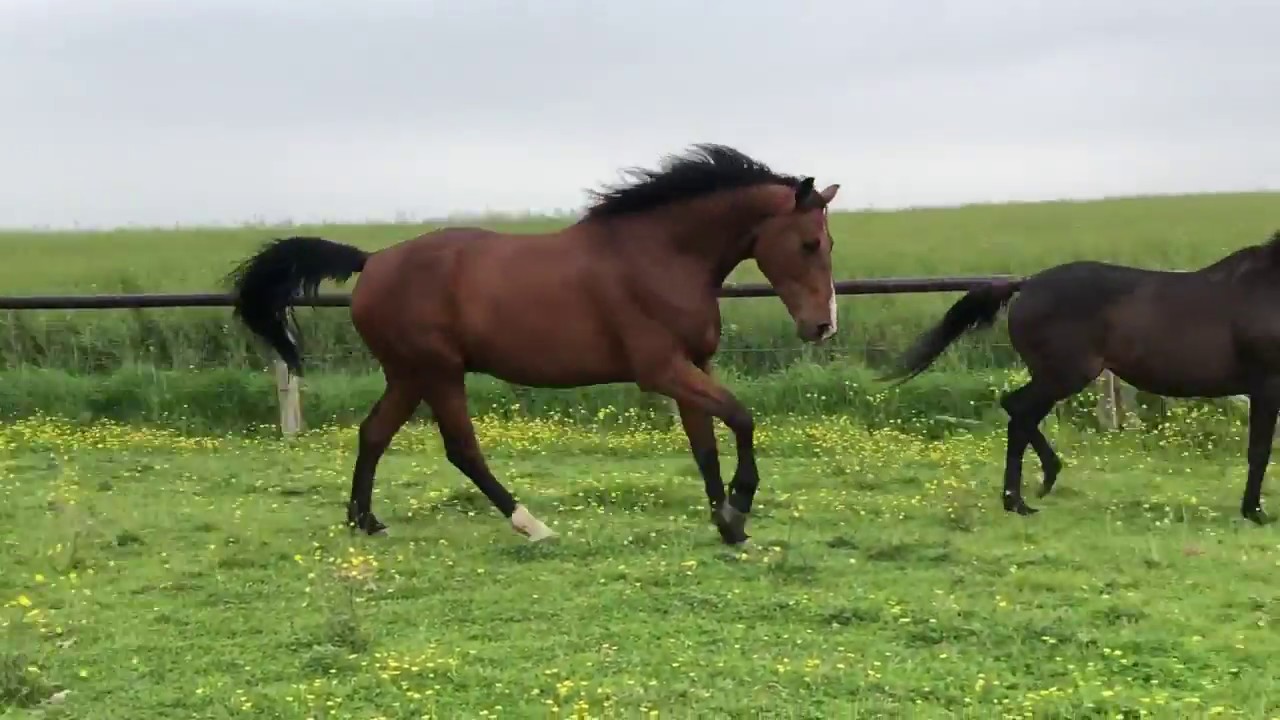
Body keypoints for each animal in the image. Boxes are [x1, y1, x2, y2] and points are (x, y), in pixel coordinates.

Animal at [227, 144, 842, 546]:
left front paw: (726, 523)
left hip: (409, 375)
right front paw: (739, 506)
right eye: (810, 244)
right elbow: (741, 418)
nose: (823, 326)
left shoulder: (693, 364)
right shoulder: (662, 368)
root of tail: (372, 261)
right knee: (462, 449)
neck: (661, 255)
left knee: (373, 433)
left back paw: (365, 521)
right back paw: (531, 524)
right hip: (439, 372)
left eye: (828, 243)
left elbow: (704, 444)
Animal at [882, 229, 1280, 525]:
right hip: (1064, 375)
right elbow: (1260, 450)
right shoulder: (1267, 386)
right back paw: (1024, 497)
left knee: (1016, 410)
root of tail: (1027, 284)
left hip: (1055, 375)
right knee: (1020, 413)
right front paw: (1255, 512)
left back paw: (1035, 487)